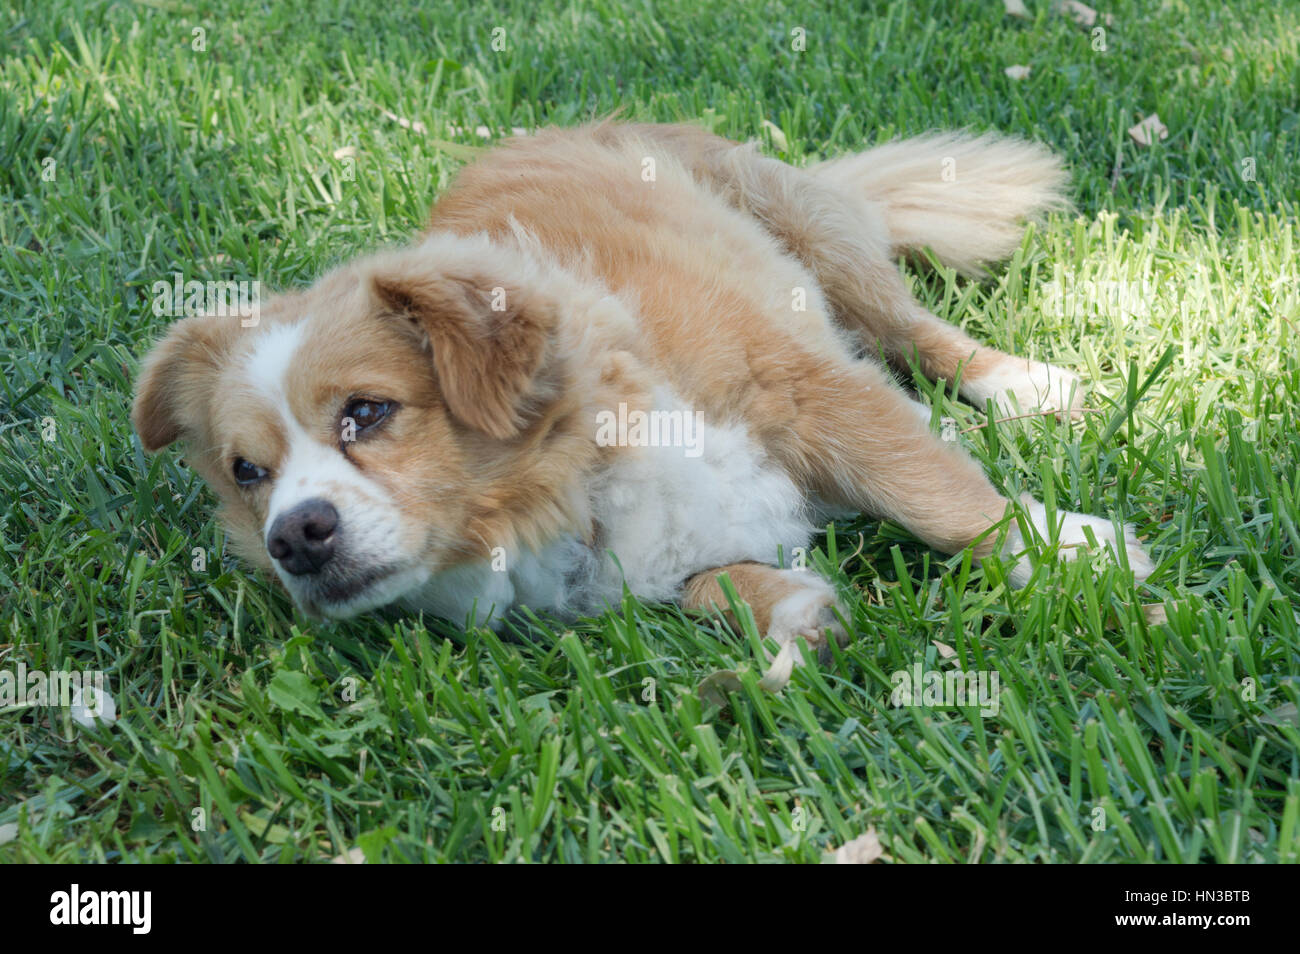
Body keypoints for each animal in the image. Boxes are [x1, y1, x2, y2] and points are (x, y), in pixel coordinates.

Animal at [129, 123, 1149, 686]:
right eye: (248, 472)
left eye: (367, 413)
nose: (294, 539)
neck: (581, 477)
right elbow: (716, 586)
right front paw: (794, 612)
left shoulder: (806, 387)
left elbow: (938, 494)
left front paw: (1077, 554)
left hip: (811, 234)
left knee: (914, 330)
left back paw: (1025, 386)